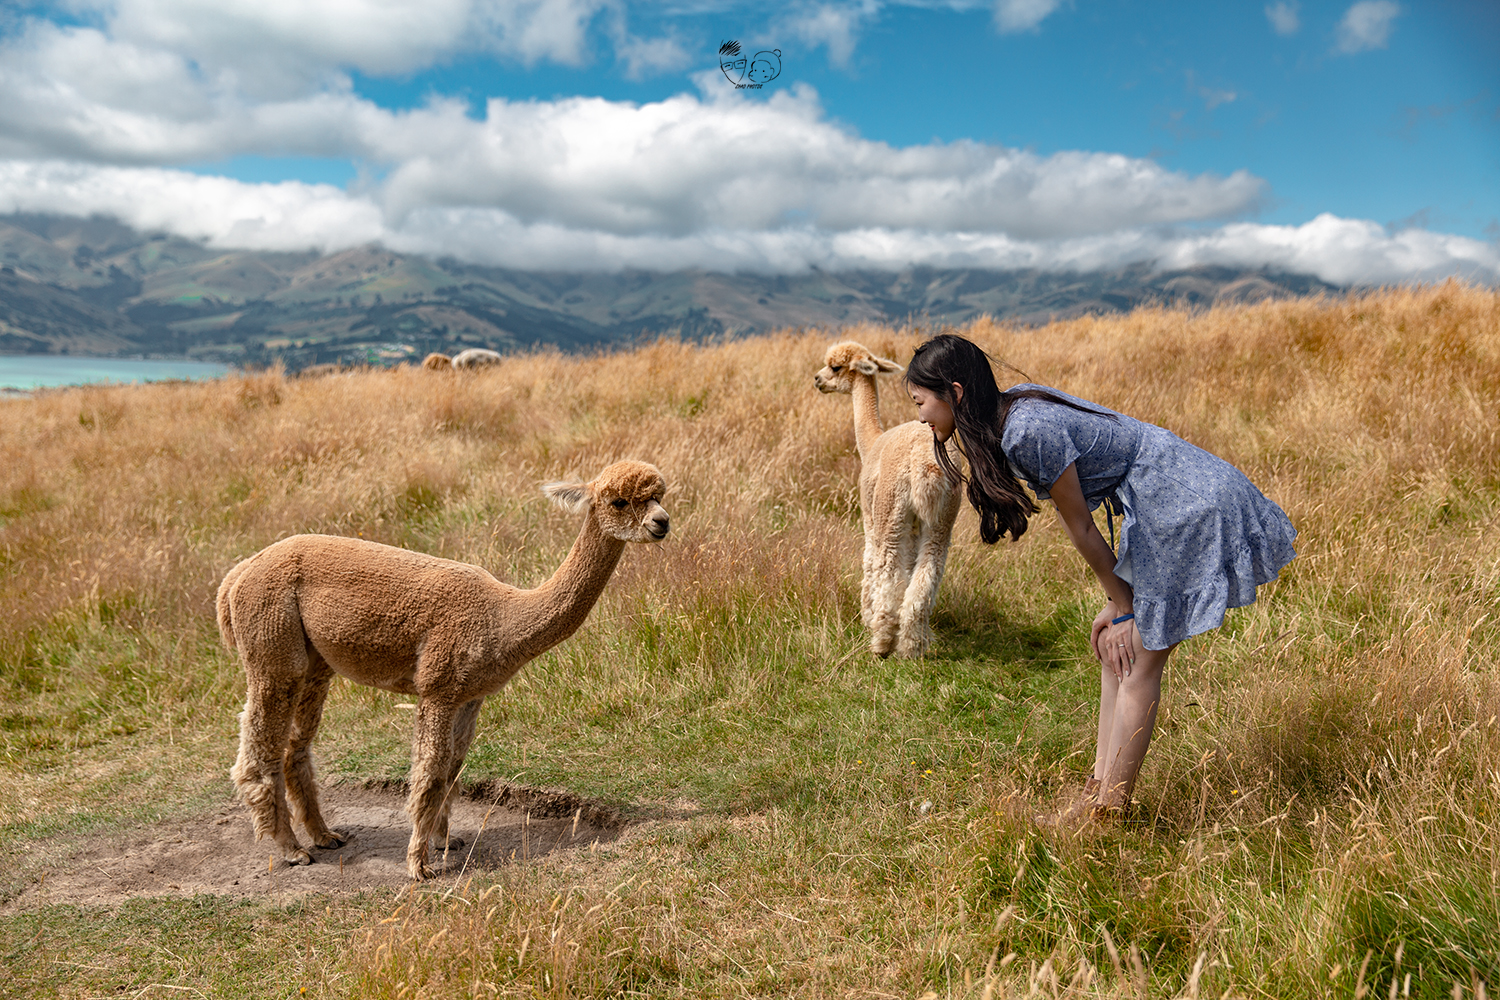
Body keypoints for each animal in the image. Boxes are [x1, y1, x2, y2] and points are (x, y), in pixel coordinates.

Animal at [216, 464, 669, 881]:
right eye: (620, 502)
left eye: (660, 497)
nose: (662, 523)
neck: (503, 617)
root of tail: (239, 573)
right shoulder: (438, 687)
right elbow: (430, 774)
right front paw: (419, 865)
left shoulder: (471, 694)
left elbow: (453, 768)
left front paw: (445, 839)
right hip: (272, 645)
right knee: (258, 751)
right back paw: (291, 848)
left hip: (315, 664)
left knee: (294, 747)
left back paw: (324, 835)